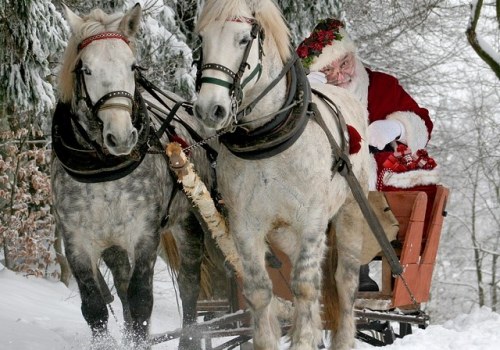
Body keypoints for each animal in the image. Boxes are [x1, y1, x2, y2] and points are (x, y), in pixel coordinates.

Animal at [193, 0, 374, 350]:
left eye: (243, 39)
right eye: (202, 40)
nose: (210, 109)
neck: (268, 137)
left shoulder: (312, 221)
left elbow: (303, 286)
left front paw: (304, 340)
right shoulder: (245, 226)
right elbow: (260, 291)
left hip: (349, 213)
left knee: (343, 282)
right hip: (282, 232)